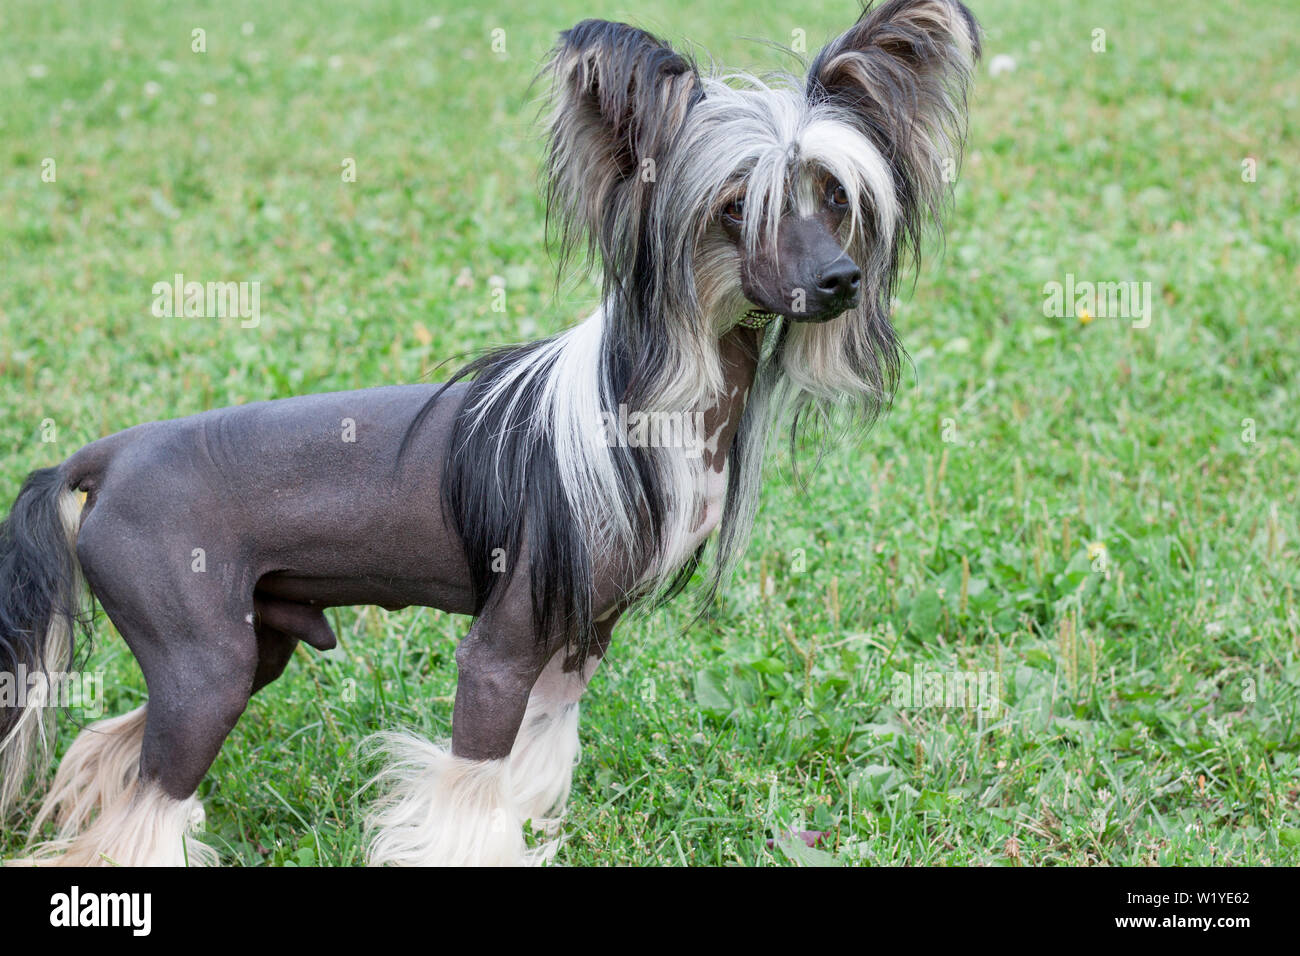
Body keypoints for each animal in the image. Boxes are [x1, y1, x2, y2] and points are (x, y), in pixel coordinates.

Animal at [0, 1, 977, 868]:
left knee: (115, 751)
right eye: (737, 206)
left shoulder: (578, 641)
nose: (842, 280)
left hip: (252, 644)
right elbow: (474, 788)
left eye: (834, 197)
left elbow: (536, 764)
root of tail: (107, 455)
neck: (655, 404)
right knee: (145, 795)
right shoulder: (502, 648)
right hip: (204, 661)